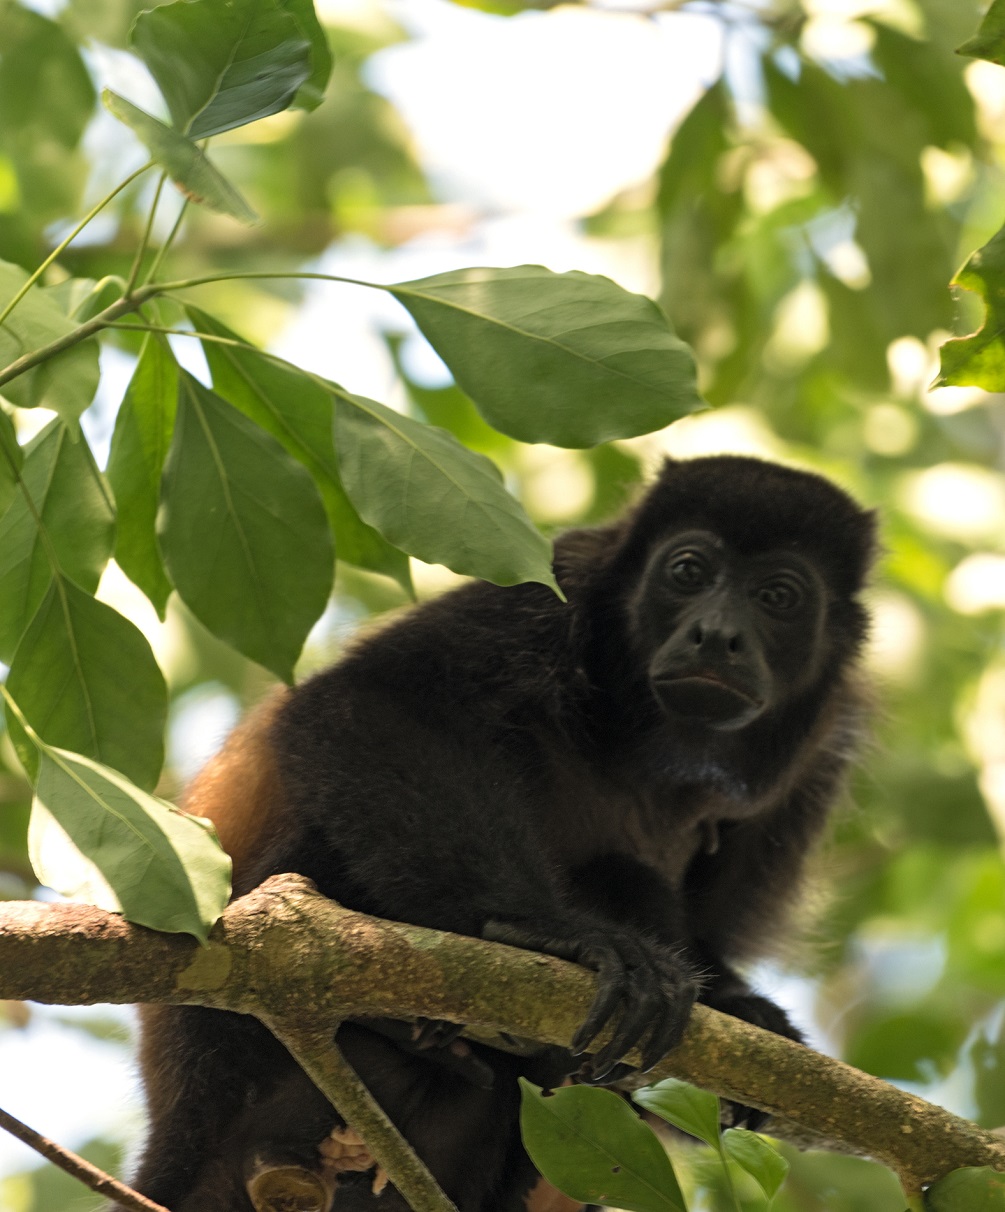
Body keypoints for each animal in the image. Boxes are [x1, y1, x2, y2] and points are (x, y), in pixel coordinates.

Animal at [125, 455, 872, 1212]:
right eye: (687, 571)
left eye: (778, 596)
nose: (717, 635)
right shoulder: (555, 587)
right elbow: (374, 700)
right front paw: (549, 932)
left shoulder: (824, 745)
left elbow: (712, 937)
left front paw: (749, 1012)